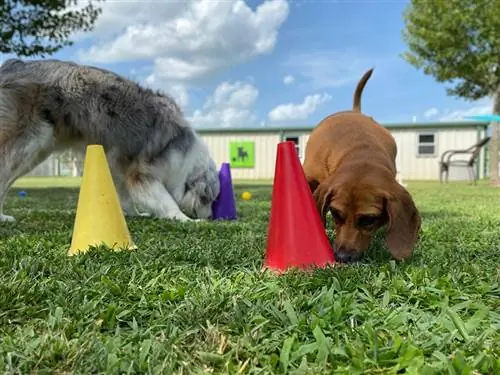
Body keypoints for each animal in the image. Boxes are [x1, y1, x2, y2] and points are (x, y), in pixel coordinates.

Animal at [0, 59, 221, 223]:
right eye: (208, 199)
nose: (211, 217)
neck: (184, 155)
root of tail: (12, 64)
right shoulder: (140, 175)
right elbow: (165, 200)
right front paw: (185, 219)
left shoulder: (118, 168)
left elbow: (125, 197)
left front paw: (135, 214)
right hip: (28, 145)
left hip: (37, 151)